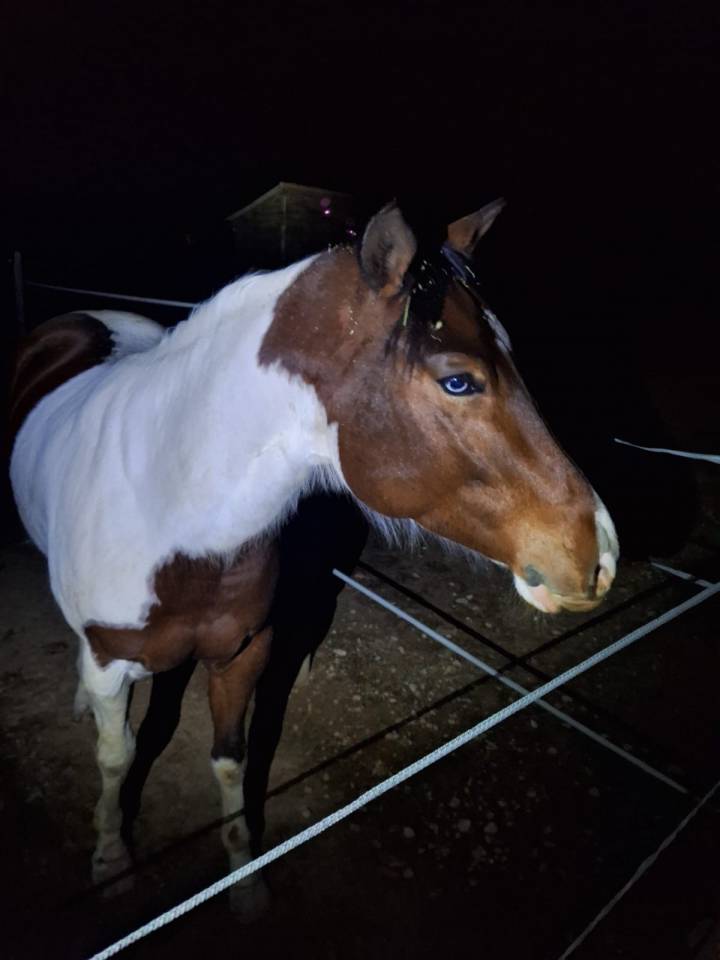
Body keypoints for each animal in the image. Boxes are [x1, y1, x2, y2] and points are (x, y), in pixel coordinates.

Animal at [8, 198, 618, 916]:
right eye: (459, 381)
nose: (600, 554)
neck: (167, 508)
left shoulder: (243, 654)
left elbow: (230, 759)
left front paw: (244, 879)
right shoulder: (111, 662)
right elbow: (116, 756)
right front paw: (110, 858)